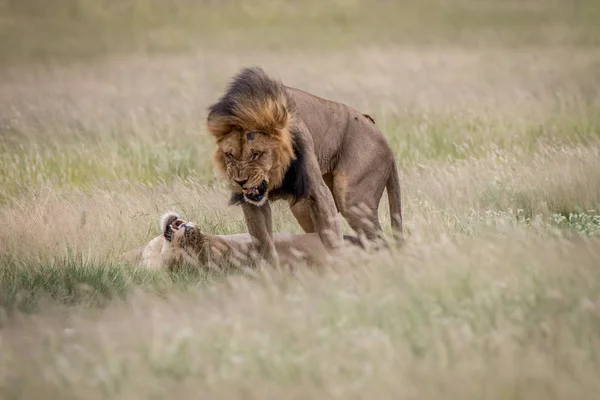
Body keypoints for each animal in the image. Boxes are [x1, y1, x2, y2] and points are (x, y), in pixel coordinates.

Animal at [206, 66, 404, 266]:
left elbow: (333, 240)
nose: (240, 182)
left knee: (380, 242)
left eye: (256, 154)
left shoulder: (319, 193)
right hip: (302, 208)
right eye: (229, 155)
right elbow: (264, 244)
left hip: (352, 199)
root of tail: (385, 142)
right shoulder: (253, 204)